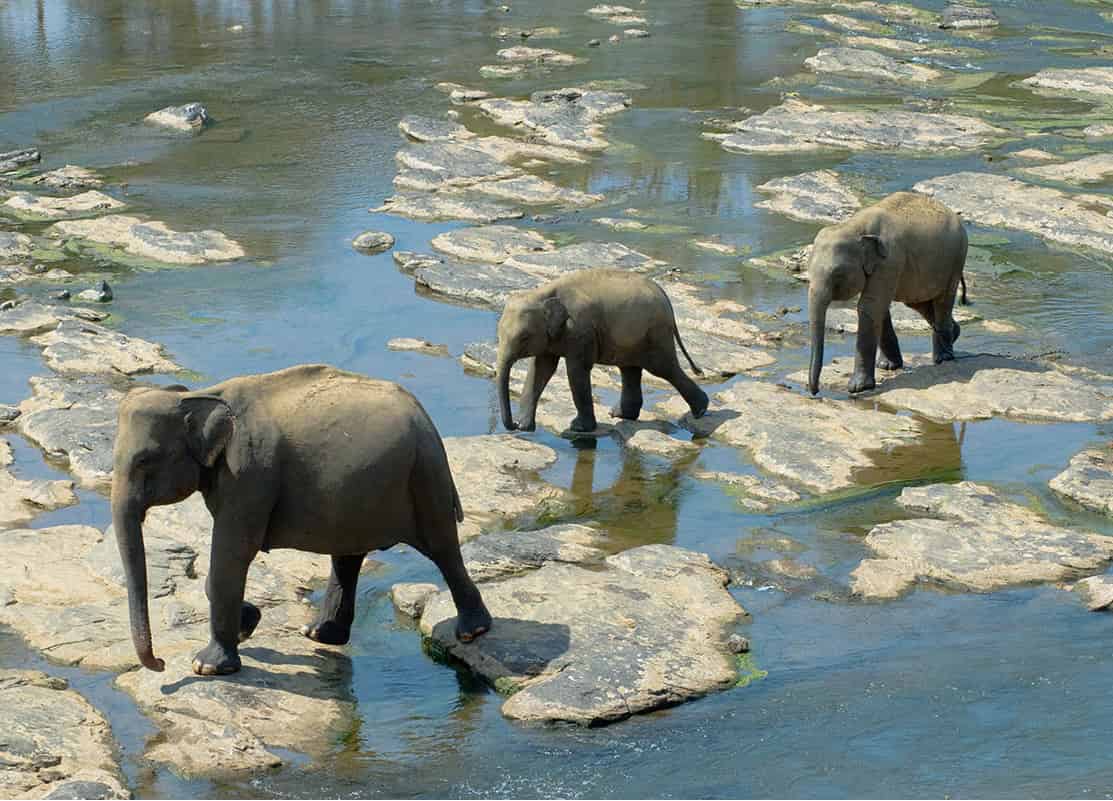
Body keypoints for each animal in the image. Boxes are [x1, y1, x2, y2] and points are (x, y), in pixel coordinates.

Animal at [110, 364, 489, 676]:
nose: (159, 663)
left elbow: (233, 552)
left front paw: (207, 666)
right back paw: (320, 634)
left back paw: (474, 632)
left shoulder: (250, 474)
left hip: (424, 475)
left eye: (145, 460)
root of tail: (426, 419)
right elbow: (226, 562)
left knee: (441, 547)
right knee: (348, 557)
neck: (199, 396)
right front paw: (248, 624)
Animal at [494, 267, 703, 431]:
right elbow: (540, 369)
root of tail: (666, 298)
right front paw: (525, 427)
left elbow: (576, 371)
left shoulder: (580, 329)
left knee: (663, 368)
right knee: (630, 369)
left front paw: (578, 428)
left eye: (524, 338)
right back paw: (620, 415)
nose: (513, 425)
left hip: (655, 333)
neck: (541, 292)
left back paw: (700, 410)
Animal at [805, 191, 970, 398]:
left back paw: (943, 358)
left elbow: (870, 306)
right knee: (919, 302)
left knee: (942, 300)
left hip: (956, 259)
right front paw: (887, 366)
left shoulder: (890, 261)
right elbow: (879, 308)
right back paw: (954, 335)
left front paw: (858, 387)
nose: (814, 392)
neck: (855, 225)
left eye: (837, 274)